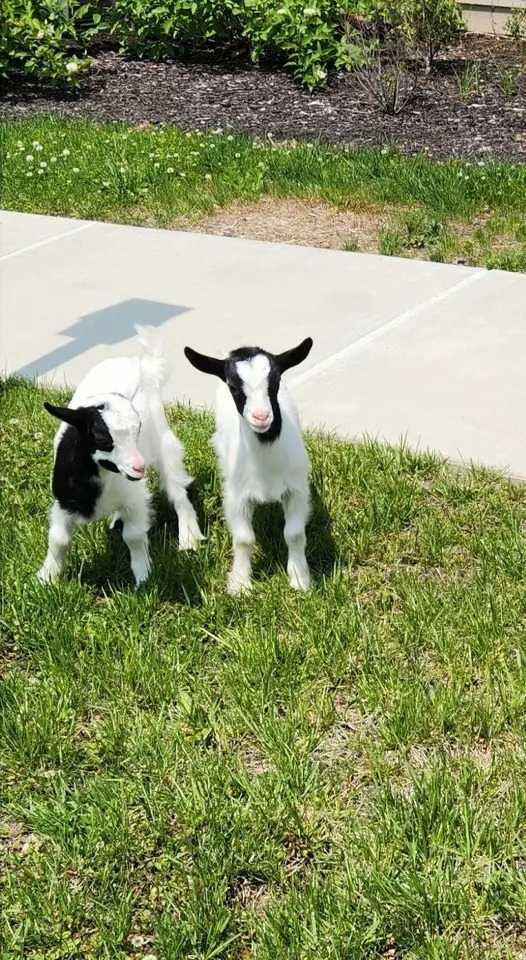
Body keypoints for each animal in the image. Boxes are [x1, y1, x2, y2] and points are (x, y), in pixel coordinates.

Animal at [38, 326, 203, 587]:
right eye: (102, 438)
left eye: (138, 429)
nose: (139, 467)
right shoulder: (63, 501)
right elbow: (58, 539)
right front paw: (47, 578)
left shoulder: (135, 496)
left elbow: (134, 535)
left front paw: (143, 576)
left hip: (163, 441)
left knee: (177, 488)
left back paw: (189, 539)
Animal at [184, 337, 313, 594]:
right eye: (233, 387)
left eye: (275, 382)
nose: (261, 416)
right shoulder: (236, 497)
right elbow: (244, 539)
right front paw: (240, 584)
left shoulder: (296, 490)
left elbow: (293, 534)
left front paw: (299, 578)